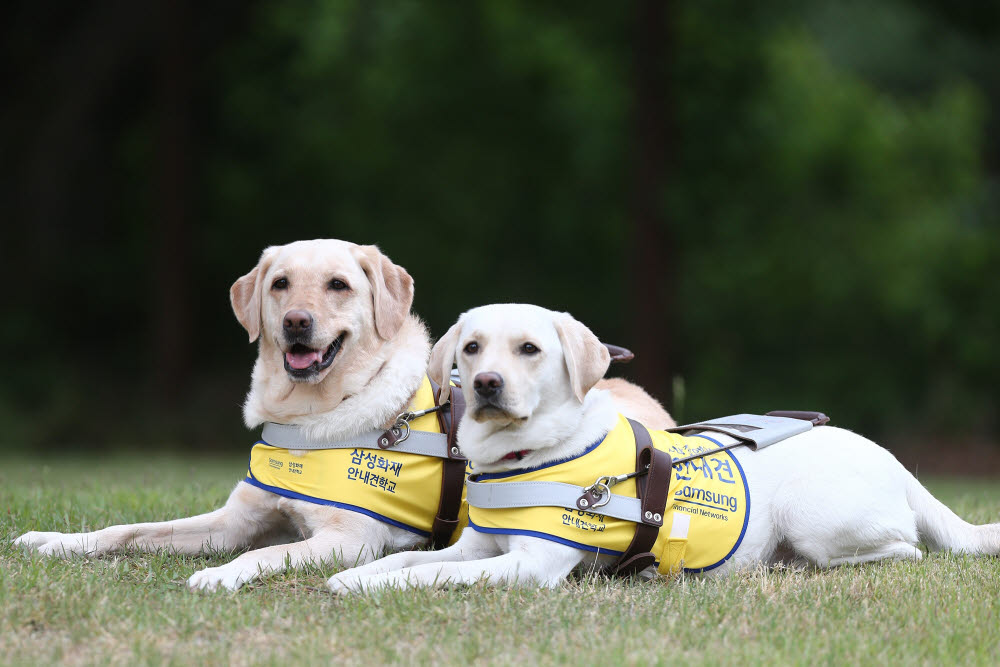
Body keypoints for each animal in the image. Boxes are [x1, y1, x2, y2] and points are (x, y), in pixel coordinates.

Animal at [14, 239, 446, 588]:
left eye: (338, 284)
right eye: (280, 283)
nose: (296, 321)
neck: (305, 419)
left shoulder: (351, 539)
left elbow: (263, 552)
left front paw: (219, 574)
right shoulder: (235, 521)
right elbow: (127, 529)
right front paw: (56, 541)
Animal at [332, 306, 1000, 592]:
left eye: (529, 349)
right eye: (471, 348)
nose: (486, 385)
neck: (524, 456)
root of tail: (894, 460)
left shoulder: (529, 566)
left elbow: (434, 571)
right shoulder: (477, 544)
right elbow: (403, 561)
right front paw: (354, 578)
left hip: (817, 519)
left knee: (904, 549)